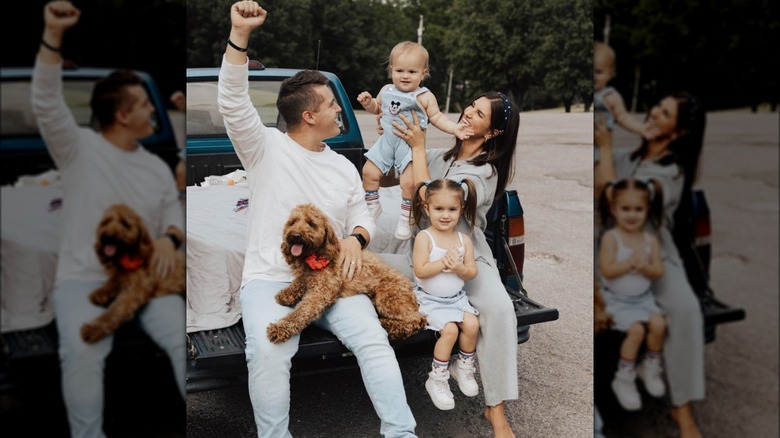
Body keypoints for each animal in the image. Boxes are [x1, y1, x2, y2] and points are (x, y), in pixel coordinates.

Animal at [80, 204, 185, 344]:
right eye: (106, 222)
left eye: (125, 223)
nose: (108, 236)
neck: (130, 254)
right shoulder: (121, 276)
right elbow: (112, 281)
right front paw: (100, 293)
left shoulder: (134, 292)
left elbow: (114, 312)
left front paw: (92, 328)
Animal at [266, 204, 426, 344]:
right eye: (292, 222)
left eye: (311, 223)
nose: (295, 235)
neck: (317, 254)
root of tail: (410, 287)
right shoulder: (307, 277)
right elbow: (299, 282)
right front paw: (286, 294)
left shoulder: (321, 293)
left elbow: (300, 312)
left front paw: (279, 328)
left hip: (388, 296)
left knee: (416, 320)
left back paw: (388, 326)